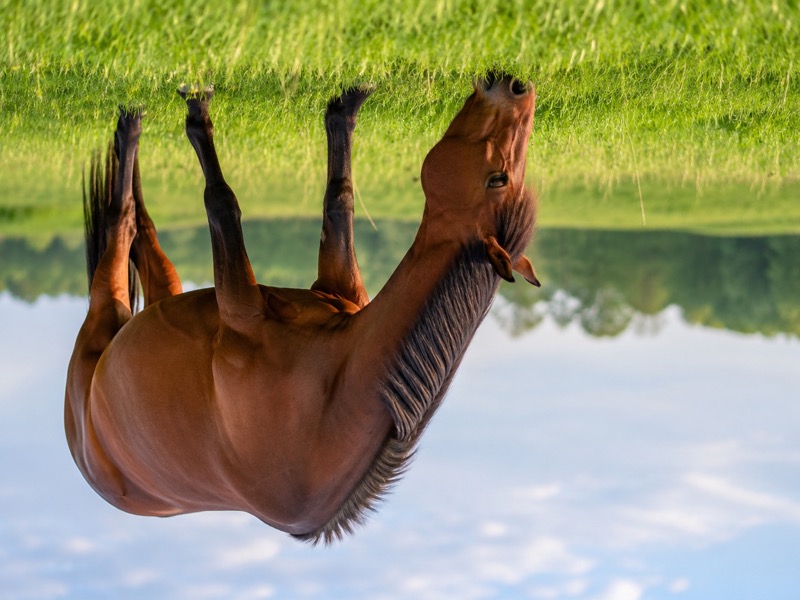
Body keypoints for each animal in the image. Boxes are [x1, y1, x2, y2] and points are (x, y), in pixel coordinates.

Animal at [65, 75, 539, 544]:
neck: (332, 407)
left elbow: (222, 201)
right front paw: (347, 104)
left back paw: (130, 130)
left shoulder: (240, 308)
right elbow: (338, 199)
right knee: (139, 226)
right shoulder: (333, 285)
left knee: (124, 222)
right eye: (502, 178)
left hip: (114, 307)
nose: (517, 87)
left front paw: (199, 115)